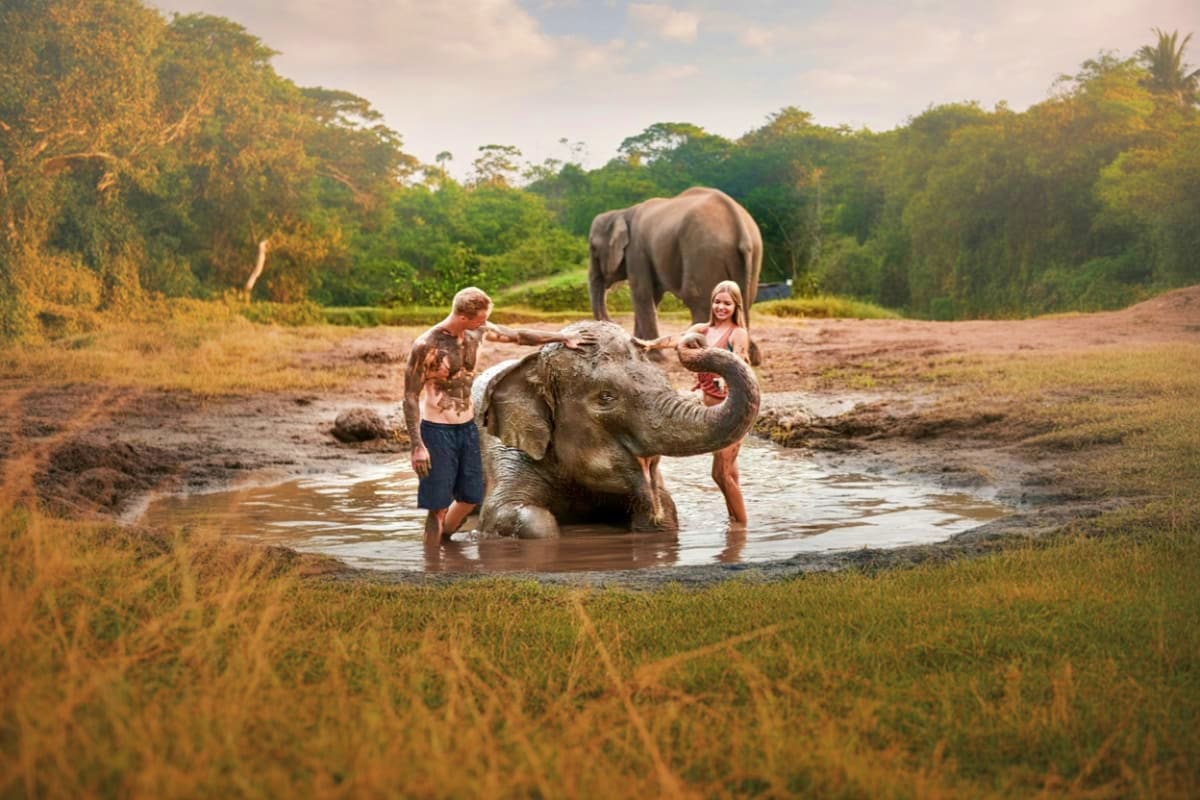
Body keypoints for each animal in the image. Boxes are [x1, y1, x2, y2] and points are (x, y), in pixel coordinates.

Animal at [471, 320, 760, 539]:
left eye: (663, 378)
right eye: (606, 397)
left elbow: (665, 507)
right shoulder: (504, 450)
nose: (693, 341)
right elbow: (508, 514)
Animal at [588, 186, 764, 365]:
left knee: (697, 298)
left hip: (704, 253)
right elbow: (654, 296)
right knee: (744, 299)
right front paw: (638, 350)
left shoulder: (636, 251)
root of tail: (740, 226)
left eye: (593, 248)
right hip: (753, 255)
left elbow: (641, 293)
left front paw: (653, 358)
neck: (623, 211)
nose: (613, 324)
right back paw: (752, 358)